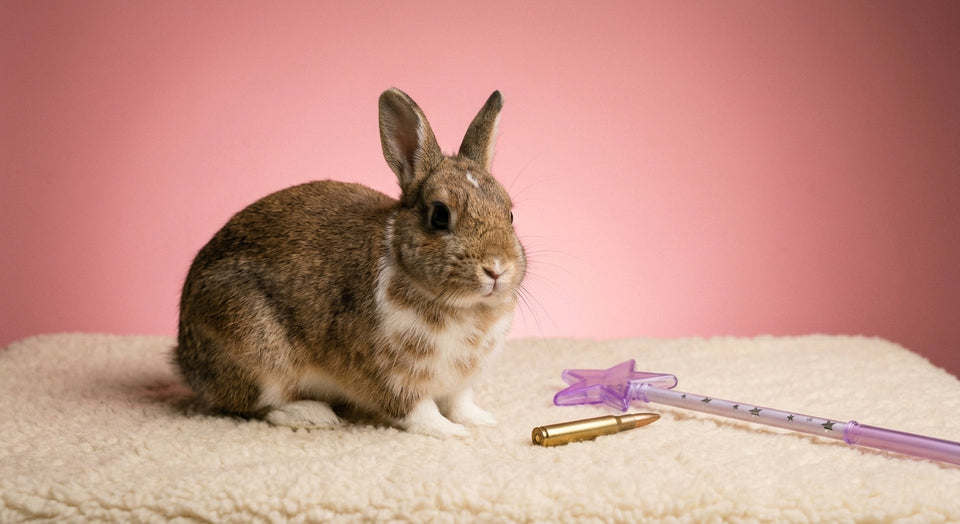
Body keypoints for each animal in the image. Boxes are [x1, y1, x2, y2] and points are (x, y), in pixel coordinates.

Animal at [175, 88, 526, 438]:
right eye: (439, 215)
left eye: (509, 215)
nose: (497, 267)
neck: (465, 307)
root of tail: (184, 359)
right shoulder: (392, 376)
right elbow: (417, 410)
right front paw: (451, 432)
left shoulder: (459, 384)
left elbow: (459, 402)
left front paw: (481, 421)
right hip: (256, 349)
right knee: (256, 405)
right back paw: (313, 414)